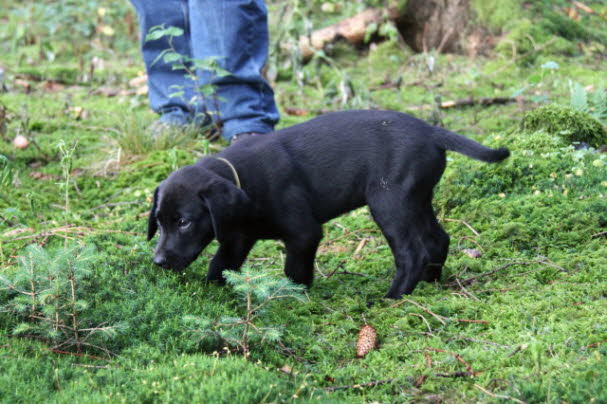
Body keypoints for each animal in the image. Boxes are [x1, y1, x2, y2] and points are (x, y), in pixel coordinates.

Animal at [147, 109, 508, 296]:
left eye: (184, 222)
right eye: (159, 222)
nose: (158, 261)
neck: (244, 182)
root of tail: (431, 131)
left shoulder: (304, 234)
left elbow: (295, 272)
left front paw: (293, 298)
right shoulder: (237, 237)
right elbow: (220, 265)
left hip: (389, 202)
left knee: (412, 253)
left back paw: (392, 298)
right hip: (417, 199)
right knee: (438, 240)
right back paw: (430, 284)